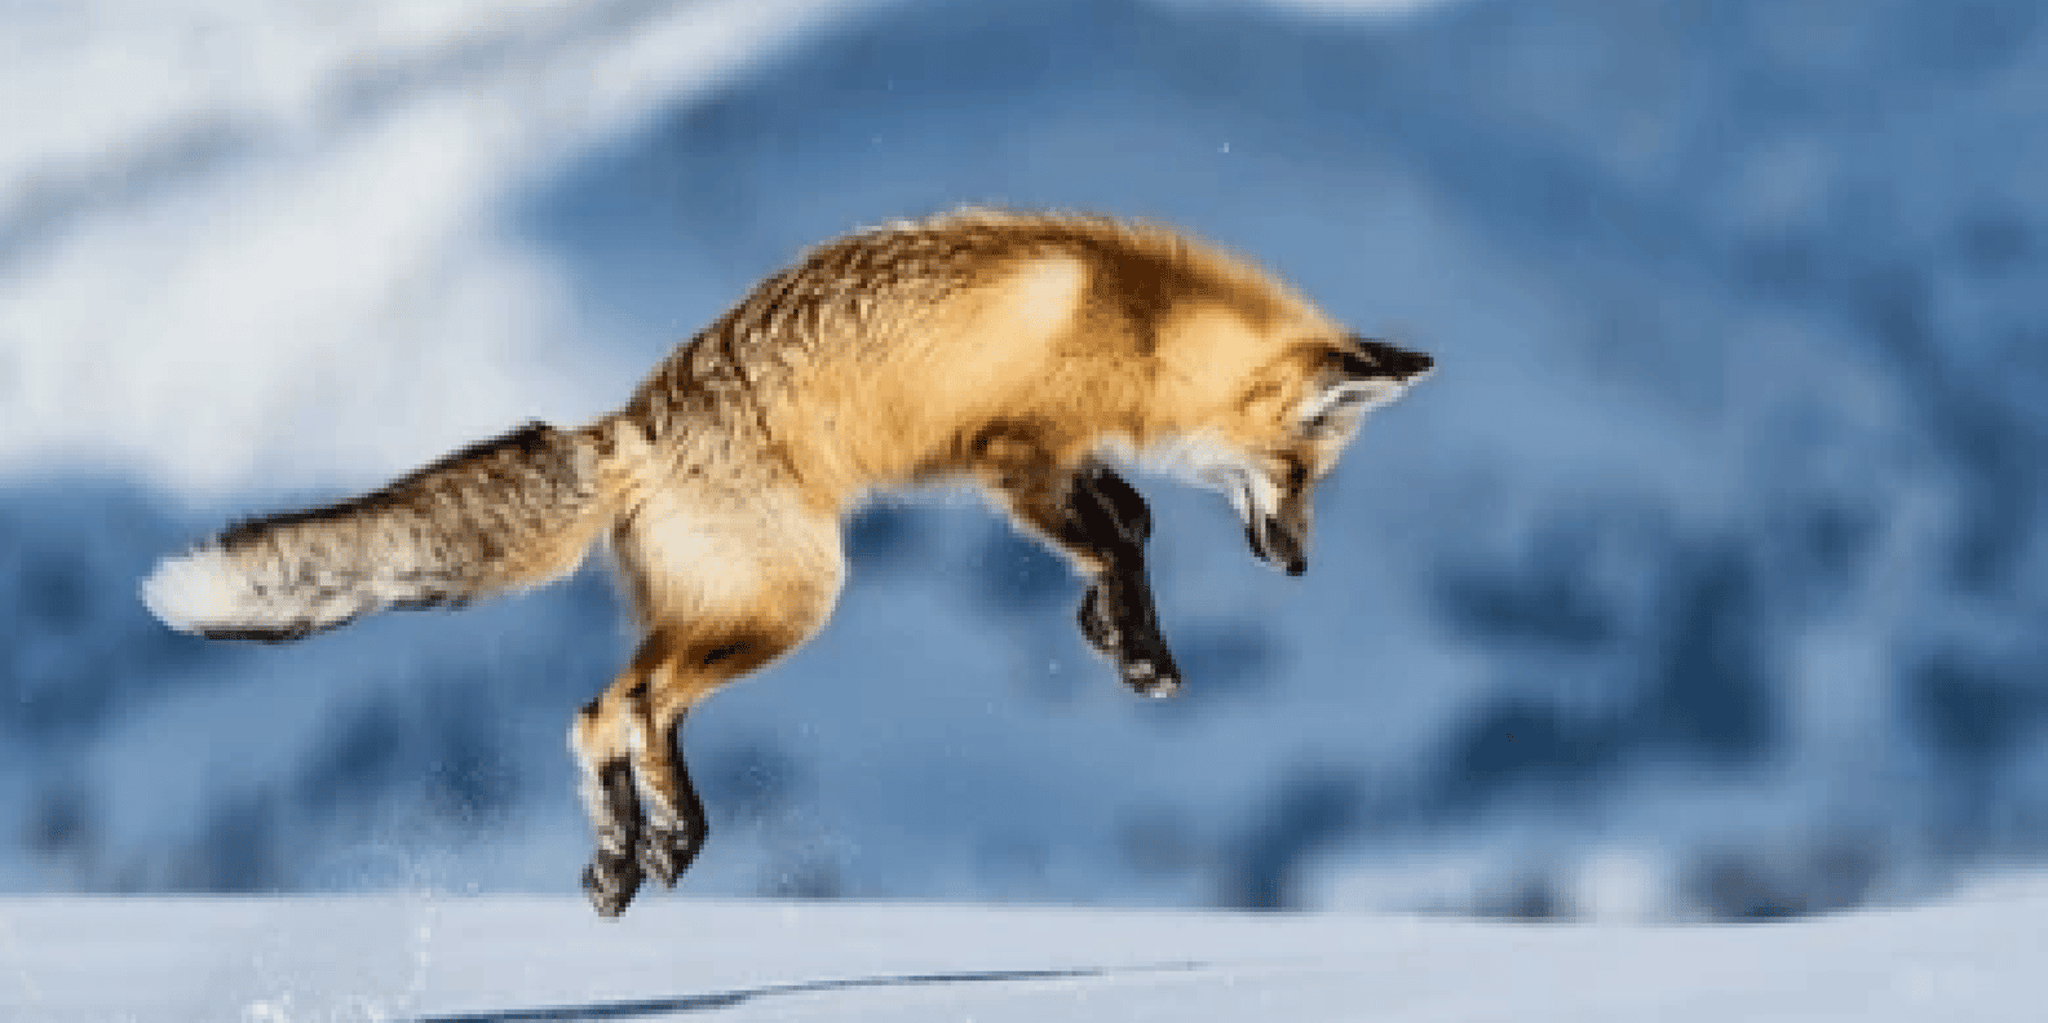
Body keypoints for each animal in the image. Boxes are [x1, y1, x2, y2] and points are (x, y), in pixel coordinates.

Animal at [142, 209, 1433, 916]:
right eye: (1301, 473)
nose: (1295, 569)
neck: (1137, 319)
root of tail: (627, 429)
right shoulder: (1011, 454)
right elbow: (1120, 531)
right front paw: (1138, 649)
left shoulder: (1047, 464)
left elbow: (1127, 522)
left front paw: (1110, 632)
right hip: (789, 602)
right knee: (635, 706)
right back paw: (670, 837)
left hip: (722, 606)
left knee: (597, 714)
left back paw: (626, 858)